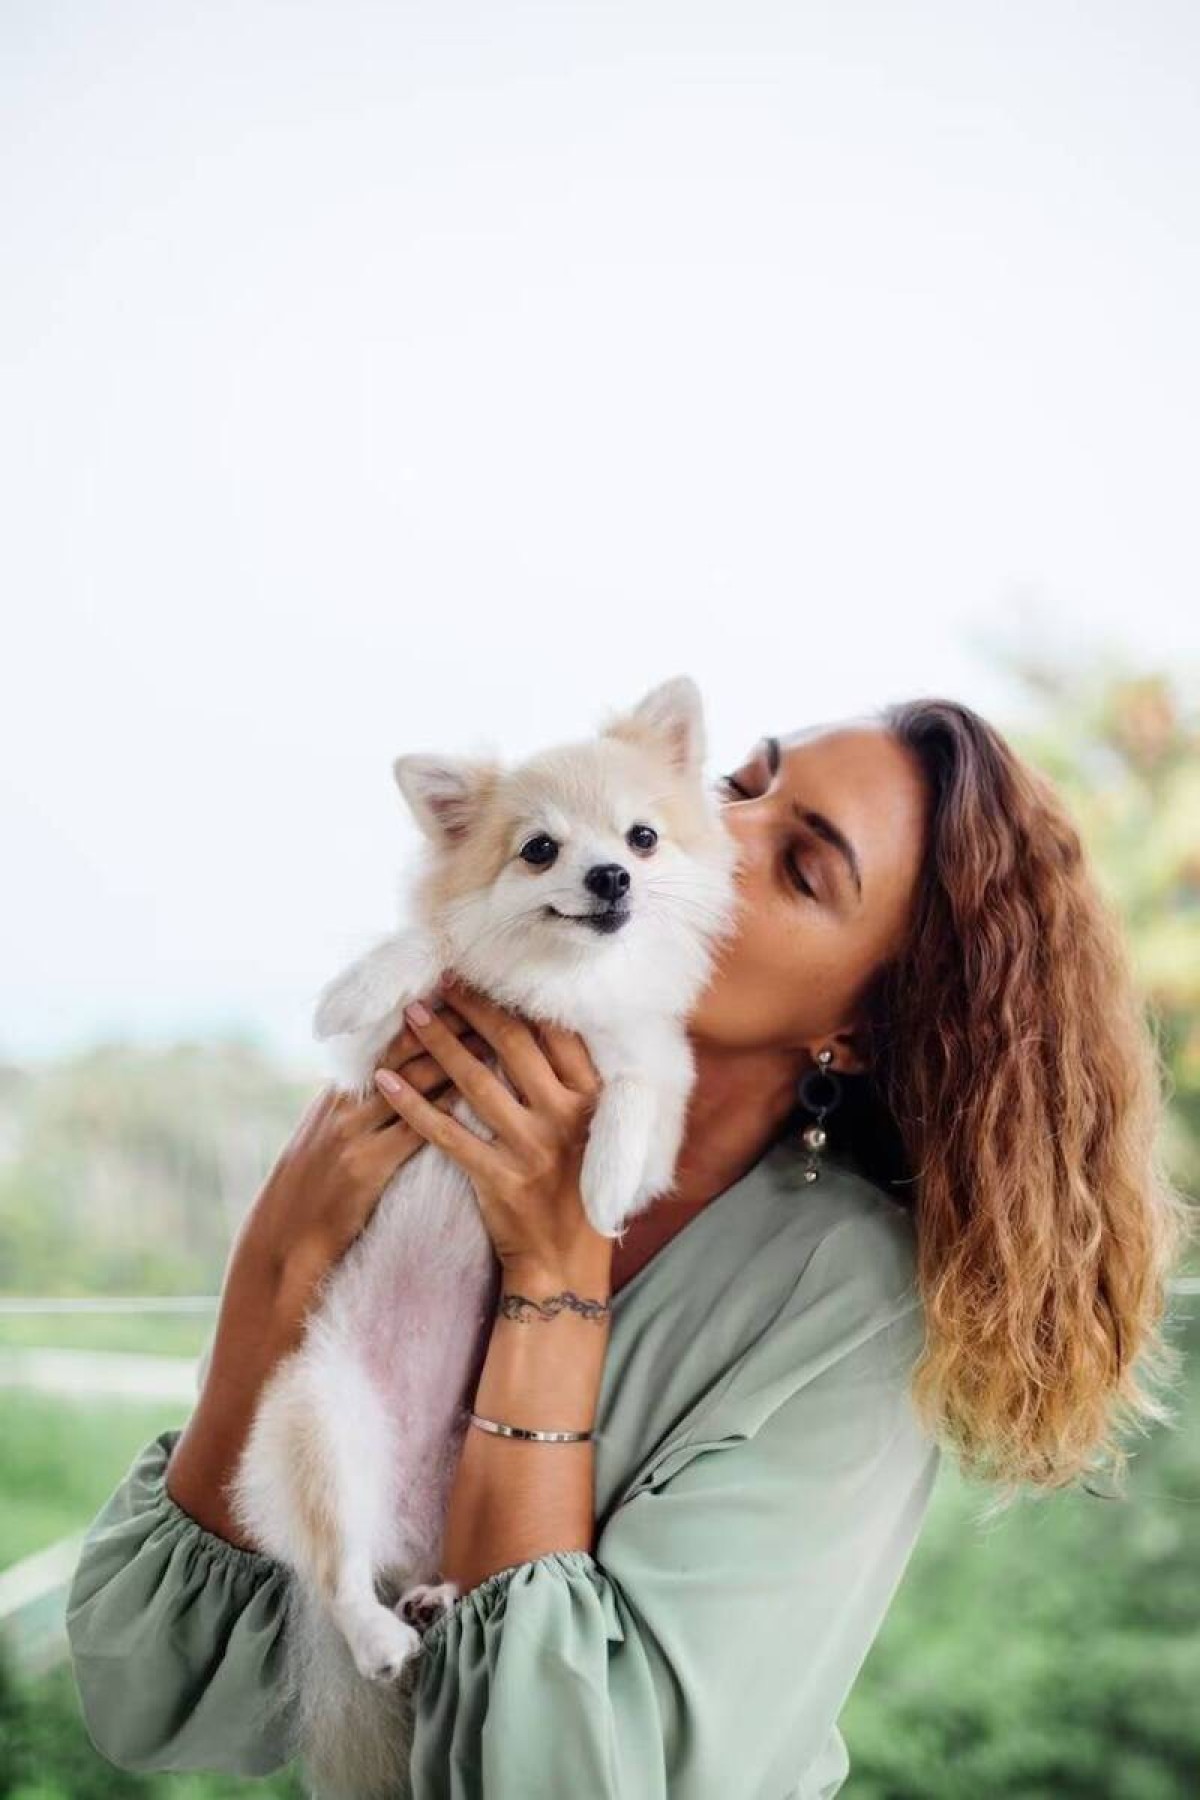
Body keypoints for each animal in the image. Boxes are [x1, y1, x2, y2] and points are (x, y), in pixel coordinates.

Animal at [227, 676, 741, 1800]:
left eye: (641, 838)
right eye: (538, 850)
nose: (607, 875)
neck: (565, 995)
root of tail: (409, 1524)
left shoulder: (657, 1072)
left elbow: (635, 1094)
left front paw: (600, 1180)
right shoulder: (384, 1071)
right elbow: (436, 954)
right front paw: (367, 978)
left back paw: (427, 1601)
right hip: (326, 1417)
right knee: (338, 1572)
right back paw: (381, 1632)